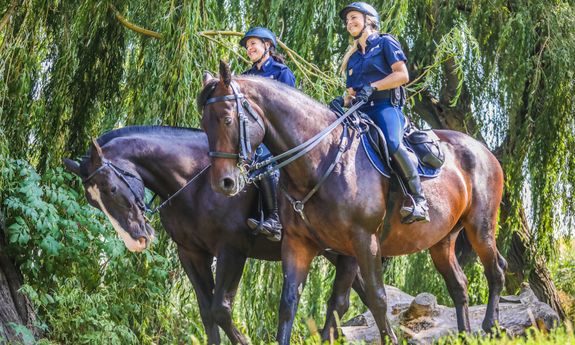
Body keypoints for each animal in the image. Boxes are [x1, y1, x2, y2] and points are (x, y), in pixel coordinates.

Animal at [64, 126, 368, 344]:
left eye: (111, 189)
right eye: (93, 202)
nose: (136, 241)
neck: (194, 181)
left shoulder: (231, 250)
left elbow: (220, 309)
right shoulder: (191, 253)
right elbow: (206, 311)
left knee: (340, 302)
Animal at [200, 62, 506, 344]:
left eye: (226, 119)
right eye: (204, 124)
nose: (223, 183)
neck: (320, 161)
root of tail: (481, 149)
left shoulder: (364, 241)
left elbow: (374, 298)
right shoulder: (301, 244)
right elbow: (294, 304)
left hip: (480, 228)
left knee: (495, 271)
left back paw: (491, 326)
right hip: (442, 241)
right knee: (458, 285)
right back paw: (465, 333)